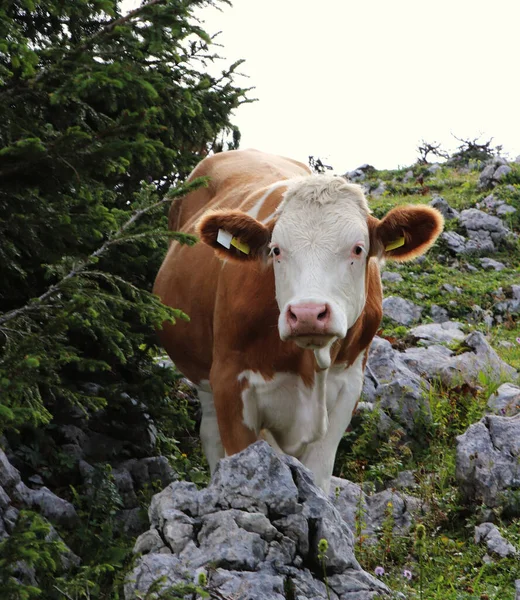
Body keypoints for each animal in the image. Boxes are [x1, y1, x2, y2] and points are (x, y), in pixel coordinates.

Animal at [154, 150, 442, 492]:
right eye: (276, 250)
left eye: (358, 249)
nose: (307, 313)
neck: (308, 365)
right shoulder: (229, 382)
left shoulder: (348, 387)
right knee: (210, 434)